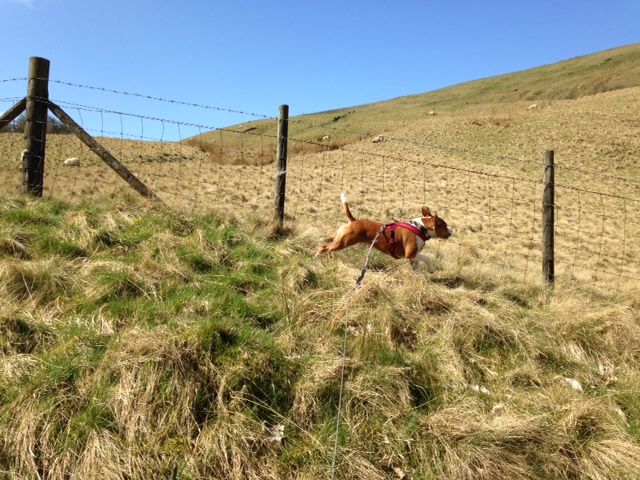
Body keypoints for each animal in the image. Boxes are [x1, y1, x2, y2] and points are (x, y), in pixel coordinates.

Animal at [318, 193, 452, 272]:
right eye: (445, 226)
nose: (452, 231)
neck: (420, 228)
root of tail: (354, 220)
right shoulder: (410, 253)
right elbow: (427, 258)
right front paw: (431, 269)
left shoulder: (413, 257)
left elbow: (417, 269)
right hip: (344, 242)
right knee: (323, 248)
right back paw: (318, 258)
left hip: (339, 239)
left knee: (326, 245)